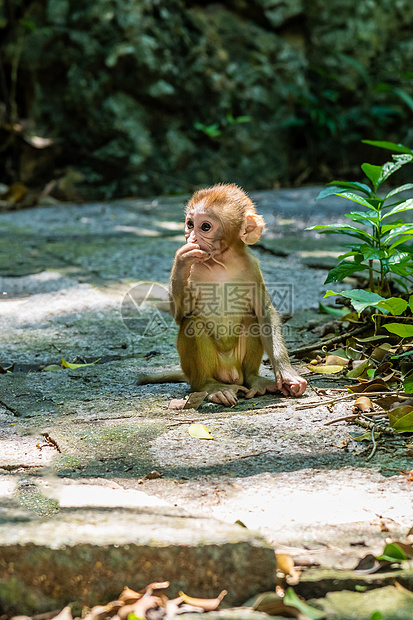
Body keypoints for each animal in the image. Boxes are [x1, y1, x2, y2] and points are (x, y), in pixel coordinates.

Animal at [140, 184, 304, 406]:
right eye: (190, 224)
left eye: (205, 227)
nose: (191, 238)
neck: (221, 262)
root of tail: (230, 374)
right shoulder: (195, 270)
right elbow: (181, 315)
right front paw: (181, 260)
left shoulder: (251, 266)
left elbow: (265, 314)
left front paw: (287, 374)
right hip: (207, 370)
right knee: (193, 324)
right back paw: (212, 387)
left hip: (237, 365)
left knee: (252, 320)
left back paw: (255, 379)